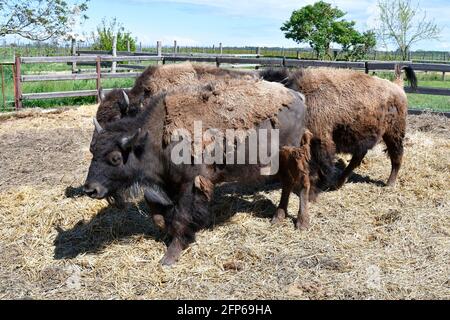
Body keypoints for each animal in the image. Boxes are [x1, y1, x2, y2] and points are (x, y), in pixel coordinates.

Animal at [82, 78, 312, 264]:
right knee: (287, 184)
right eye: (93, 150)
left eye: (115, 158)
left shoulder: (188, 184)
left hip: (292, 154)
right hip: (278, 160)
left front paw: (170, 256)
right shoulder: (168, 185)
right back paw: (278, 217)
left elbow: (181, 217)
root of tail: (297, 97)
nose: (90, 189)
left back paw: (301, 223)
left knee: (301, 183)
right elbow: (159, 215)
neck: (153, 138)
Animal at [260, 63, 418, 191]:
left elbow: (323, 162)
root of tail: (397, 86)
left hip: (394, 133)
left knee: (396, 156)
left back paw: (389, 184)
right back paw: (339, 182)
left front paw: (321, 183)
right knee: (358, 157)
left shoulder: (321, 139)